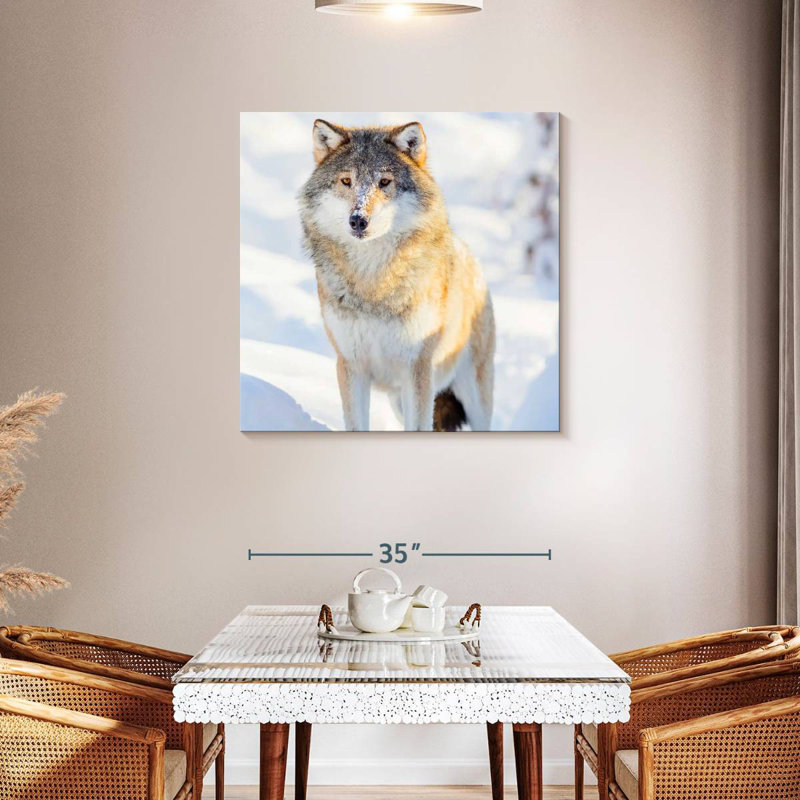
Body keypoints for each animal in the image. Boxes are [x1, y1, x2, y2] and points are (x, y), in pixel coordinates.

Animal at [299, 119, 495, 432]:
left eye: (384, 182)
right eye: (346, 181)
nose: (358, 220)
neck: (373, 281)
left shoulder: (417, 368)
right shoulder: (351, 366)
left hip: (471, 397)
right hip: (398, 401)